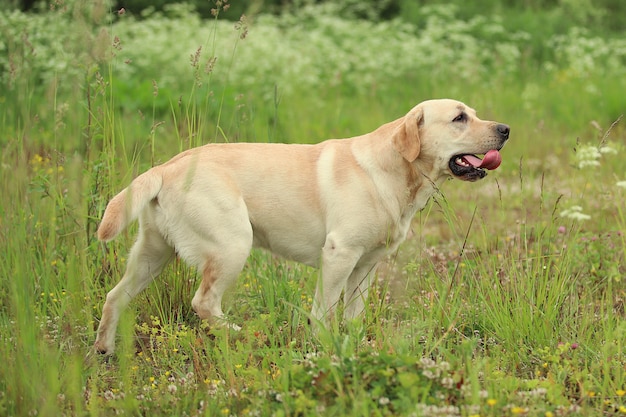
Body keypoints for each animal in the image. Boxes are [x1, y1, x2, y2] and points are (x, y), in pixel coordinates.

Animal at [96, 99, 508, 352]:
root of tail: (165, 167)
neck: (394, 172)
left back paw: (104, 349)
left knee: (115, 296)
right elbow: (323, 313)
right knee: (204, 302)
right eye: (459, 118)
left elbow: (353, 316)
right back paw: (244, 334)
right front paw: (323, 348)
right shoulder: (338, 255)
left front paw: (354, 347)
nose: (505, 129)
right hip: (233, 244)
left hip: (153, 253)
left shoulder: (365, 266)